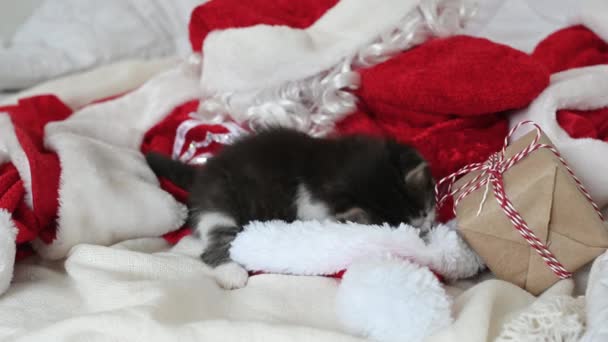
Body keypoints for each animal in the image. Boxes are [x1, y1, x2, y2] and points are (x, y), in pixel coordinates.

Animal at [145, 127, 434, 288]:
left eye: (425, 212)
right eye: (405, 229)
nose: (428, 227)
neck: (333, 167)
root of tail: (203, 172)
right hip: (219, 204)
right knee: (216, 242)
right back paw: (232, 274)